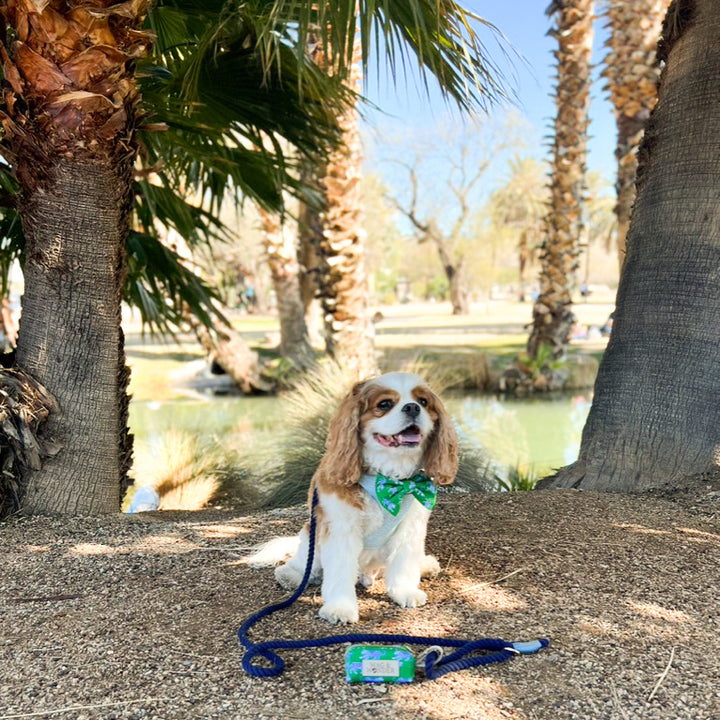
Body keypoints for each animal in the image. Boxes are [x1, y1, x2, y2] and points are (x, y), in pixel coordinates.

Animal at [248, 372, 458, 624]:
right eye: (384, 404)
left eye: (424, 402)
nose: (412, 407)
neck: (387, 479)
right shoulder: (341, 531)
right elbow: (339, 573)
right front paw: (340, 608)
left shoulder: (410, 529)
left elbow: (404, 565)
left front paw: (404, 591)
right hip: (311, 536)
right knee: (305, 564)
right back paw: (291, 575)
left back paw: (425, 564)